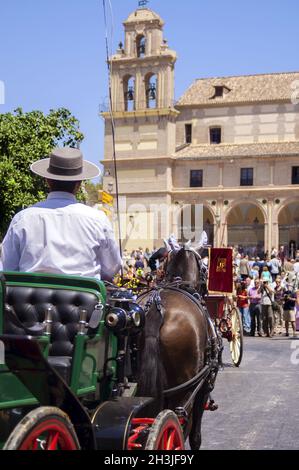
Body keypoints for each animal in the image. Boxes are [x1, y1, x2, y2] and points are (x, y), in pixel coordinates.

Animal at [137, 246, 219, 448]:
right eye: (205, 267)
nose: (206, 289)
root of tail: (156, 307)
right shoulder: (203, 386)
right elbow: (195, 434)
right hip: (186, 387)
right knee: (181, 422)